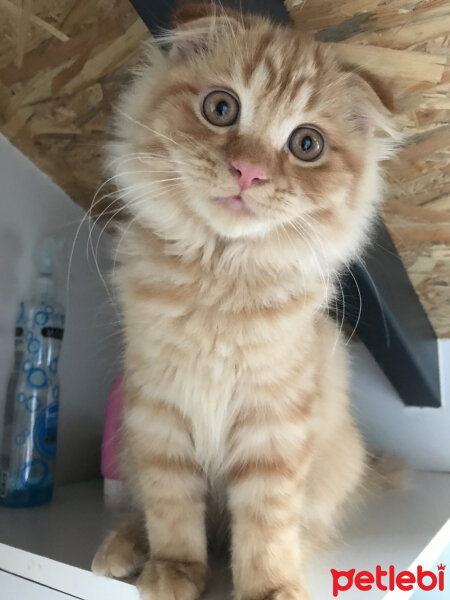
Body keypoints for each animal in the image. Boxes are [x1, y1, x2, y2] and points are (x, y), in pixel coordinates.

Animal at [91, 4, 398, 600]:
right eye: (221, 108)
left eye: (307, 145)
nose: (248, 172)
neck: (220, 279)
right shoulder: (159, 413)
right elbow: (171, 509)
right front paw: (174, 571)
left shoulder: (274, 428)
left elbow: (265, 526)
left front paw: (269, 588)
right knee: (146, 511)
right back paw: (123, 548)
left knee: (299, 529)